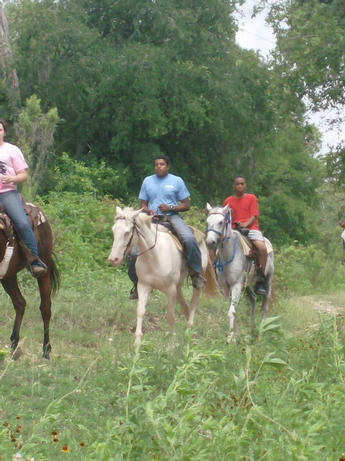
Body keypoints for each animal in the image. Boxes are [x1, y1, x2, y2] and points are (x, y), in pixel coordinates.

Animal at [0, 208, 59, 360]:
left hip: (44, 272)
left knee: (45, 308)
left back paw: (46, 351)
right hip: (8, 275)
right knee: (20, 303)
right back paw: (13, 347)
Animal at [108, 207, 215, 346]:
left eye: (127, 232)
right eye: (114, 230)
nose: (113, 259)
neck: (155, 256)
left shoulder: (170, 290)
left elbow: (170, 316)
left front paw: (170, 344)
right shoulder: (143, 286)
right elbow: (140, 311)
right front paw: (137, 343)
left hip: (196, 278)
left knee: (193, 302)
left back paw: (189, 331)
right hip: (178, 286)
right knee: (185, 306)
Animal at [204, 203, 274, 340]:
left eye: (221, 222)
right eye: (207, 222)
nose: (210, 242)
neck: (228, 254)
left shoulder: (236, 285)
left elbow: (232, 311)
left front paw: (230, 338)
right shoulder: (225, 287)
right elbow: (231, 309)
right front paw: (234, 334)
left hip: (268, 280)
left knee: (264, 306)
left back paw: (260, 333)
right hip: (246, 286)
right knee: (253, 299)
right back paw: (251, 329)